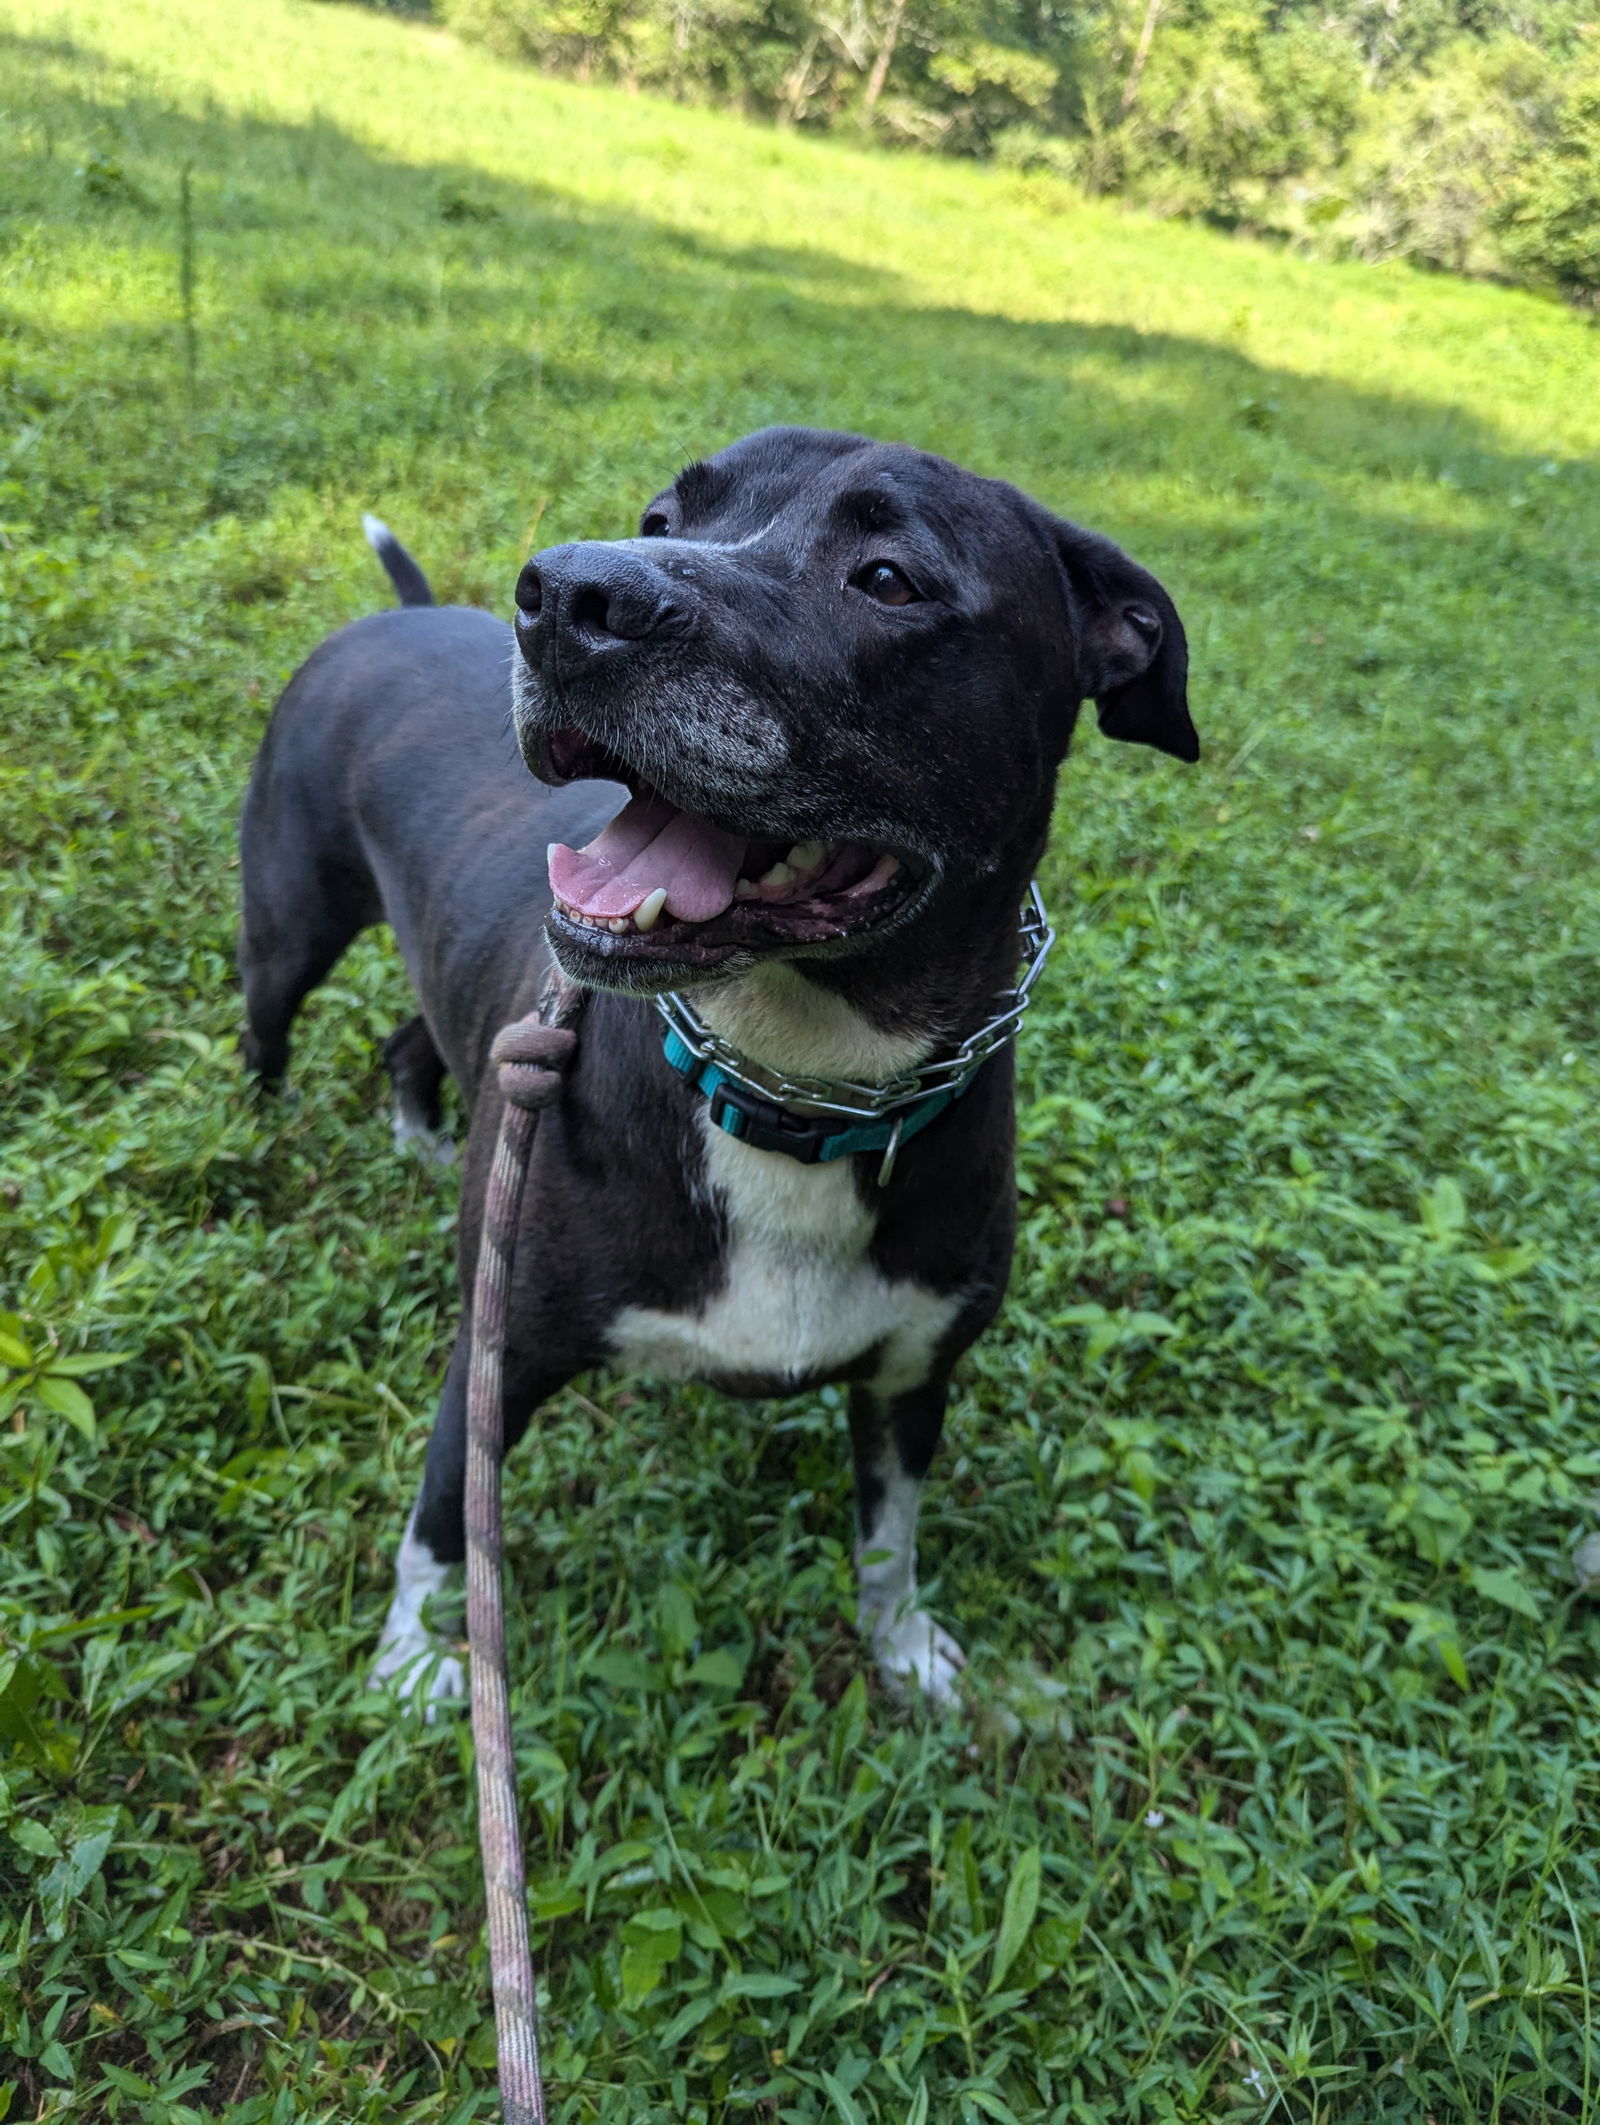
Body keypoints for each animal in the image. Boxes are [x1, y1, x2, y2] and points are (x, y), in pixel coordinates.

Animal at [233, 431, 1189, 1708]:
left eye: (888, 578)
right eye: (661, 517)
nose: (565, 595)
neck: (793, 1093)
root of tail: (402, 612)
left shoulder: (911, 1374)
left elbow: (888, 1539)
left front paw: (900, 1650)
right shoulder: (496, 1355)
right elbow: (446, 1517)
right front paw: (415, 1658)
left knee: (409, 1039)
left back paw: (421, 1140)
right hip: (292, 920)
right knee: (268, 1024)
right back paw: (261, 1140)